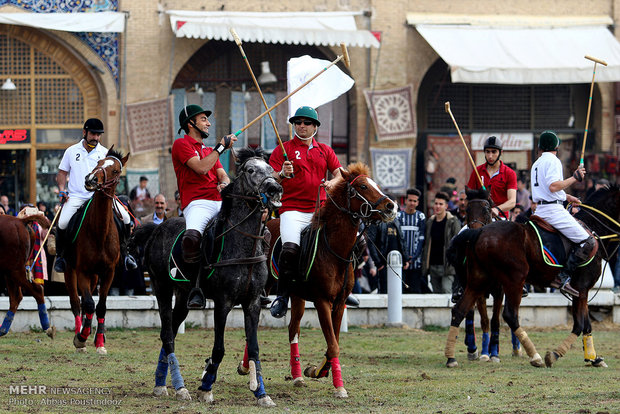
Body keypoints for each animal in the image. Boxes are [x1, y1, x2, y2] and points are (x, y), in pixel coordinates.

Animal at [63, 147, 129, 354]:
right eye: (98, 163)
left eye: (115, 170)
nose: (91, 179)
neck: (100, 231)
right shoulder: (82, 271)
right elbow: (88, 304)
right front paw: (81, 338)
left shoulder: (108, 273)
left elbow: (100, 306)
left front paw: (99, 342)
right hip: (70, 270)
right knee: (77, 303)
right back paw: (80, 336)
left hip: (94, 276)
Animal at [136, 147, 284, 406]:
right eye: (250, 170)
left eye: (270, 168)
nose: (274, 189)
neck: (243, 244)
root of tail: (156, 228)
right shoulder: (223, 302)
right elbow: (219, 349)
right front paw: (206, 387)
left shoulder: (253, 302)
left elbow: (254, 348)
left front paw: (261, 393)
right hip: (161, 286)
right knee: (167, 334)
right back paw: (179, 387)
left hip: (183, 295)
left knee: (171, 329)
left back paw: (160, 383)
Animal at [266, 162, 398, 398]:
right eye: (363, 186)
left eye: (374, 183)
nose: (391, 206)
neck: (335, 251)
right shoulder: (322, 302)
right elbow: (333, 345)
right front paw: (337, 385)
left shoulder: (339, 303)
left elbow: (333, 343)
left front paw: (317, 372)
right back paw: (246, 366)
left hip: (298, 296)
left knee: (293, 328)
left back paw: (297, 376)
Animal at [446, 186, 620, 368]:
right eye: (466, 210)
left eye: (486, 209)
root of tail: (479, 232)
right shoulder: (582, 287)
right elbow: (579, 325)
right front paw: (555, 355)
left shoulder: (580, 291)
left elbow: (586, 325)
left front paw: (594, 358)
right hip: (514, 279)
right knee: (509, 315)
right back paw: (535, 356)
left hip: (478, 281)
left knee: (460, 310)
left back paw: (451, 358)